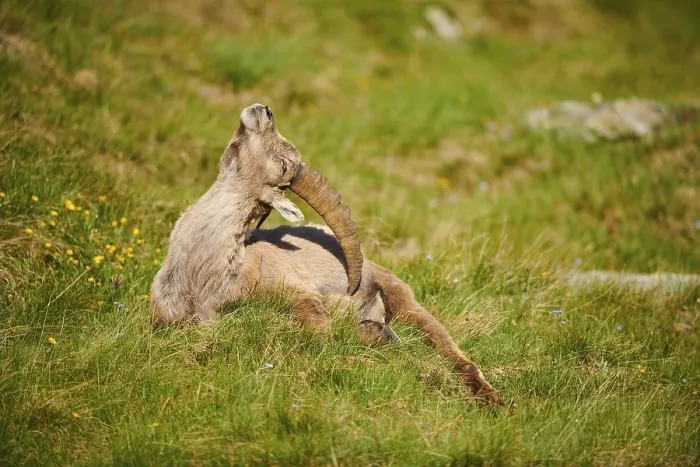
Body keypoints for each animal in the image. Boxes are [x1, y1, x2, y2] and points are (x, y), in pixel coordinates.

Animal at [150, 104, 502, 404]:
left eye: (284, 166)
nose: (264, 111)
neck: (202, 274)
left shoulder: (292, 294)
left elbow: (320, 328)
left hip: (405, 302)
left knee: (452, 352)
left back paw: (490, 398)